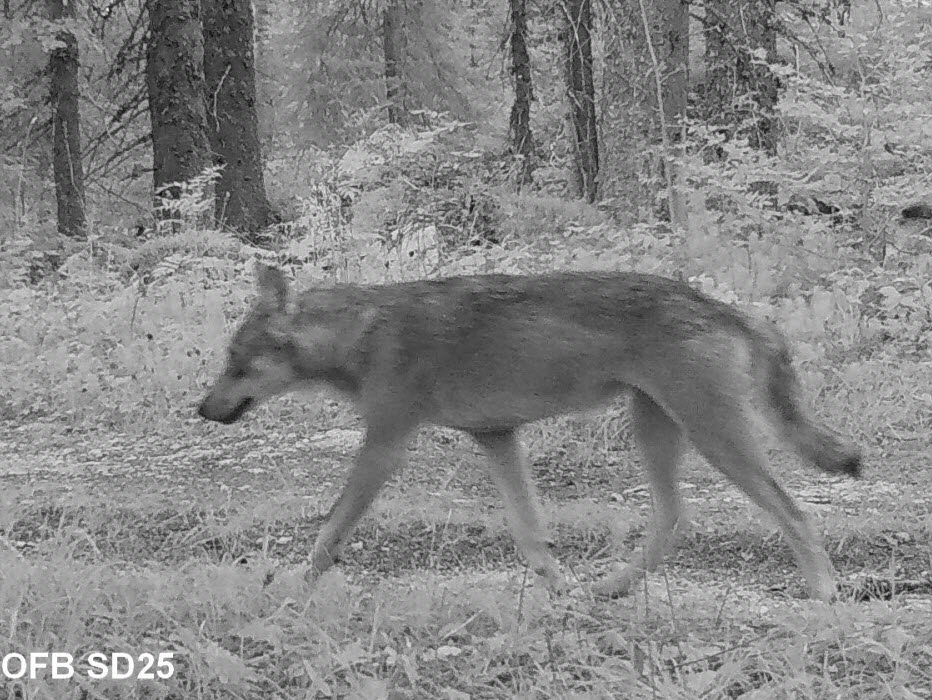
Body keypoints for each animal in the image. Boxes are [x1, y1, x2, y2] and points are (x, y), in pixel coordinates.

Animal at [197, 266, 860, 604]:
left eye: (235, 363)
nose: (202, 409)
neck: (361, 334)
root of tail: (730, 309)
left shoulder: (385, 444)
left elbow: (330, 528)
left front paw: (290, 583)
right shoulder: (496, 436)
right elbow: (529, 534)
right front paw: (559, 585)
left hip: (714, 438)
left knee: (794, 513)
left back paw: (825, 594)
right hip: (659, 432)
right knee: (674, 518)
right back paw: (607, 588)